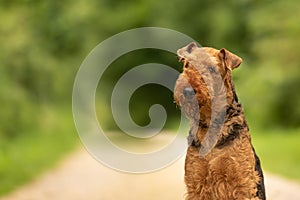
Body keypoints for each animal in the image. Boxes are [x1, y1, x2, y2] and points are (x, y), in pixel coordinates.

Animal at [173, 42, 264, 200]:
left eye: (211, 69)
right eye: (187, 65)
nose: (187, 91)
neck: (210, 123)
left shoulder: (243, 183)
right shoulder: (196, 181)